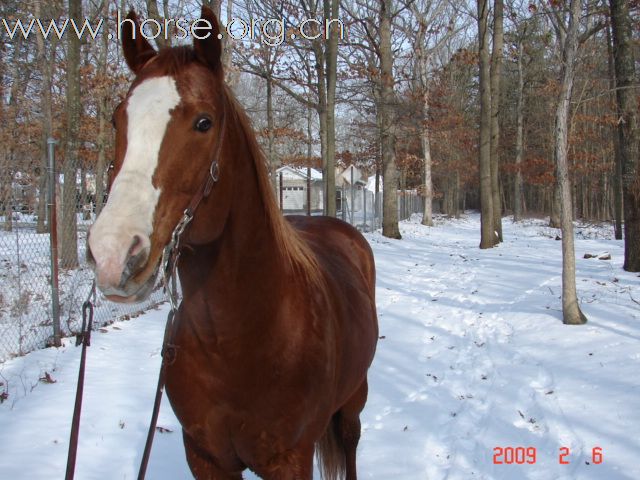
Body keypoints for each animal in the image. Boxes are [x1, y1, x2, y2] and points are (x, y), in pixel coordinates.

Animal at [89, 7, 380, 480]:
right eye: (118, 119)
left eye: (204, 122)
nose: (113, 253)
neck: (239, 339)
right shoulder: (206, 457)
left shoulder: (289, 461)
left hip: (353, 401)